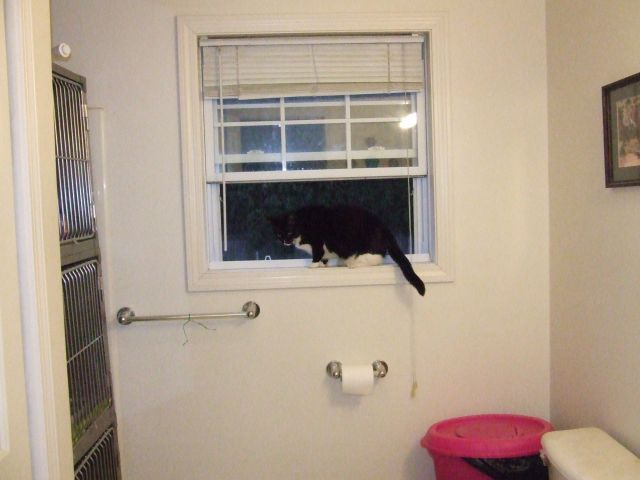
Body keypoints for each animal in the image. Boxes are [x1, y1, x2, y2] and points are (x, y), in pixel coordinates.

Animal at [269, 205, 425, 296]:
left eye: (289, 232)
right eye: (279, 235)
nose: (285, 242)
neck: (302, 223)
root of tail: (384, 226)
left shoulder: (317, 240)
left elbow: (317, 253)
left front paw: (313, 266)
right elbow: (324, 257)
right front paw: (322, 266)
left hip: (367, 244)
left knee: (377, 258)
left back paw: (352, 263)